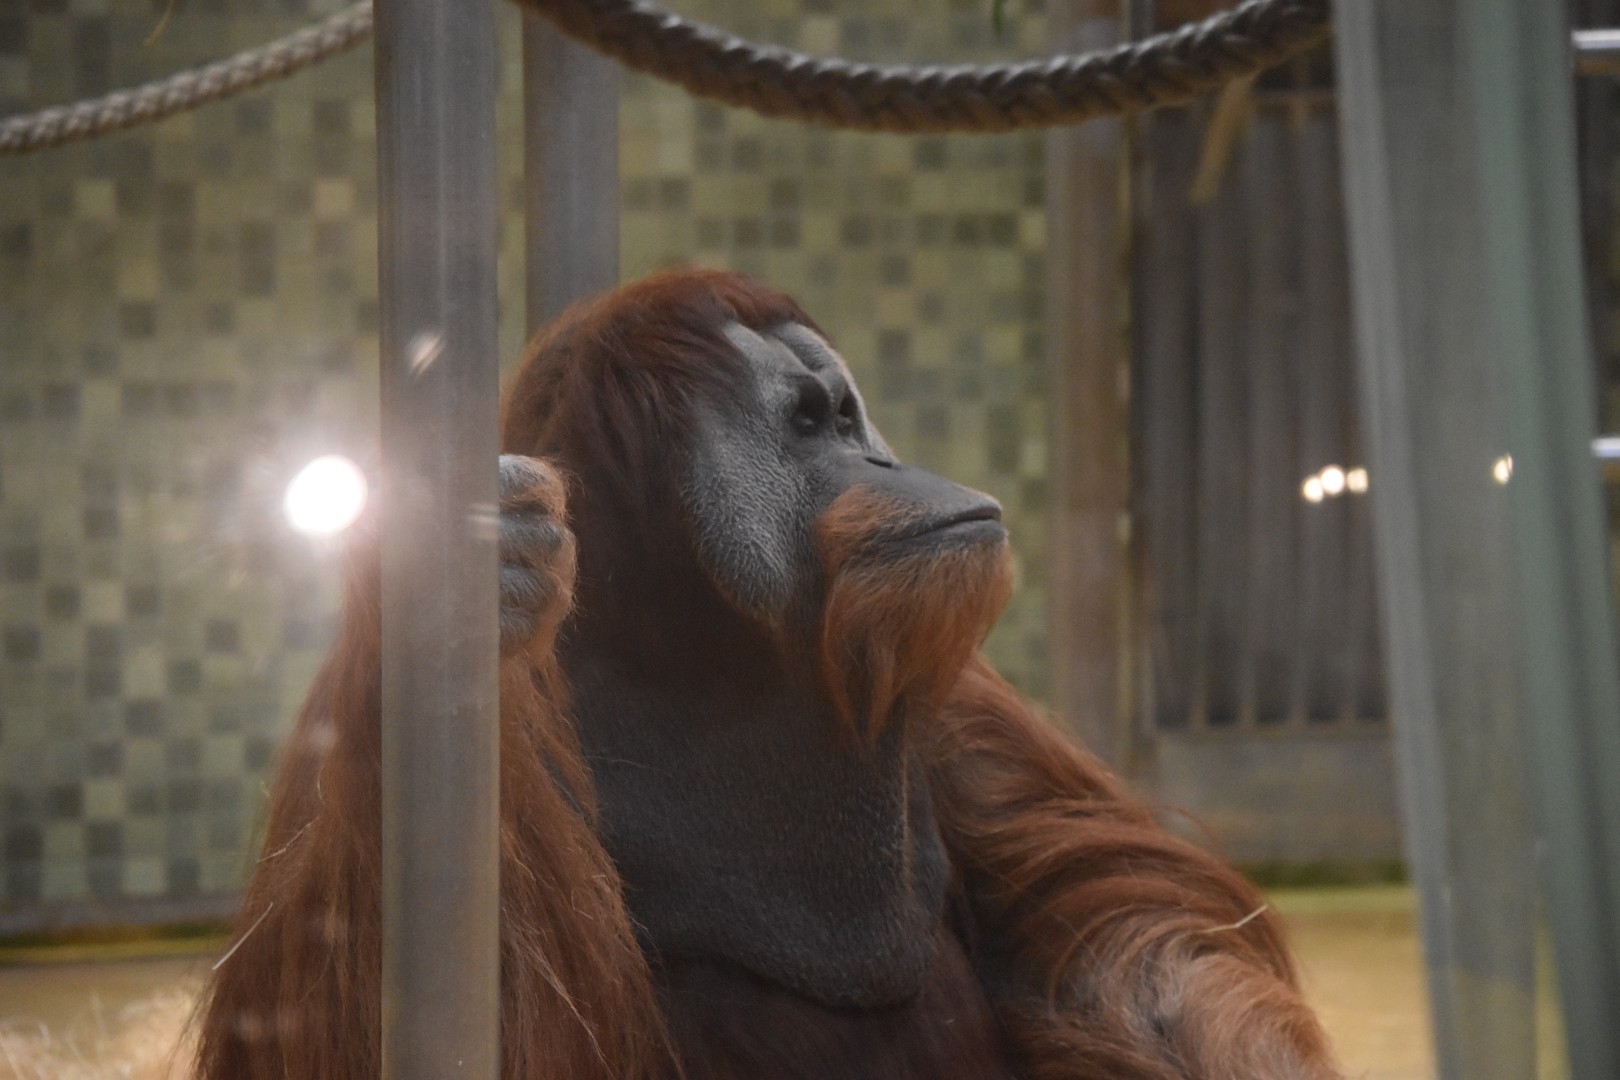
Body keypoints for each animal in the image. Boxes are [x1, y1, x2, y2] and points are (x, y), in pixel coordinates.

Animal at [198, 269, 1341, 1080]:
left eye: (849, 414)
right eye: (807, 423)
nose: (884, 460)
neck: (706, 666)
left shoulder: (953, 700)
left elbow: (1112, 901)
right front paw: (469, 573)